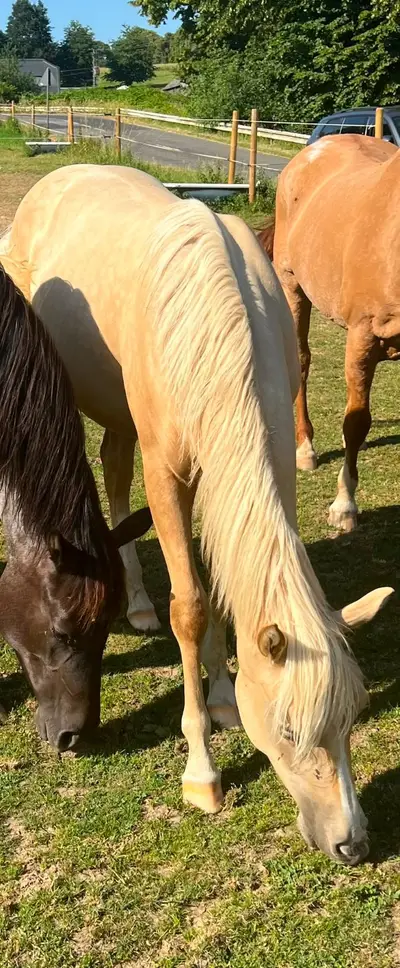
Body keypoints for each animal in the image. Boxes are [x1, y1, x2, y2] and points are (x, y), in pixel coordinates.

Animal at [258, 134, 400, 531]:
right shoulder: (364, 337)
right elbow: (357, 422)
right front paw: (344, 505)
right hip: (293, 287)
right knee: (302, 362)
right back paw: (305, 448)